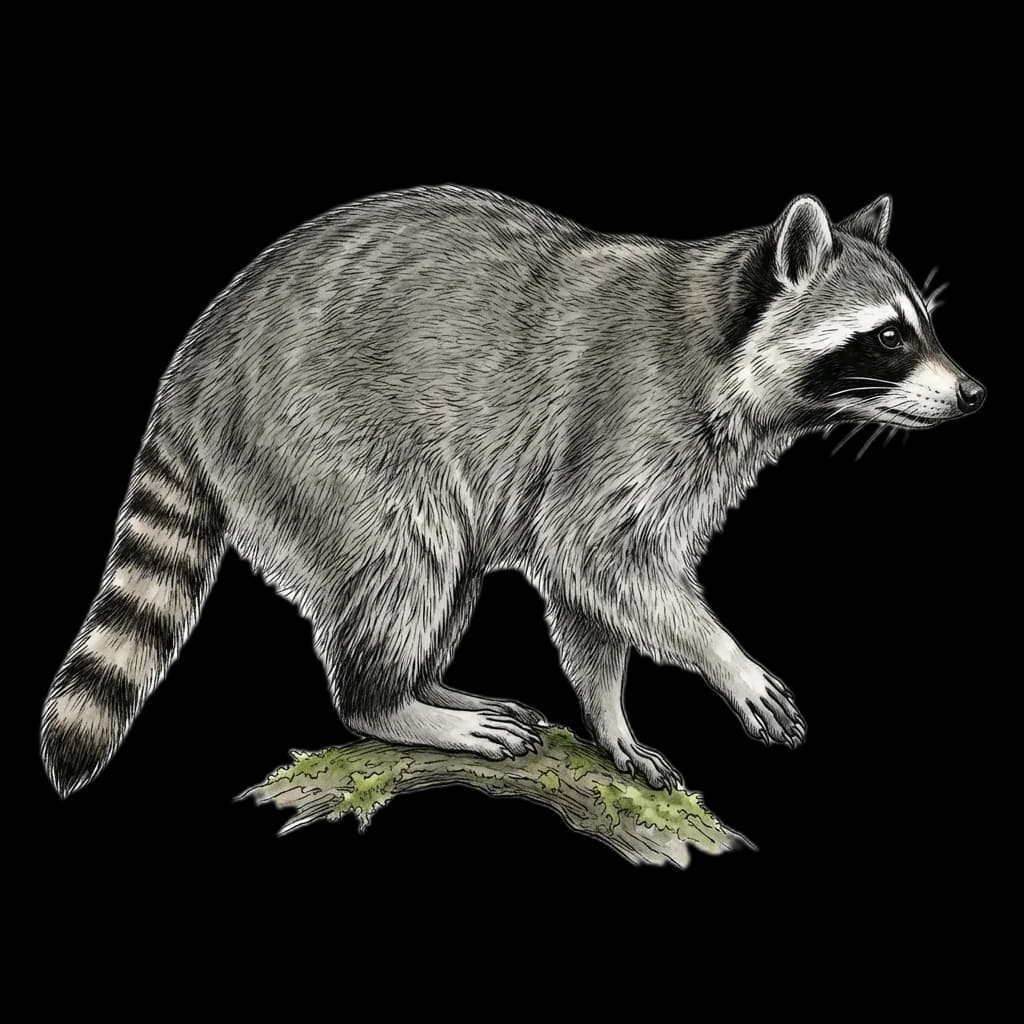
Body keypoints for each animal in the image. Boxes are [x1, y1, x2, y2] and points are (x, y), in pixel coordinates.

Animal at [40, 186, 985, 796]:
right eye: (890, 337)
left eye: (925, 325)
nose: (975, 394)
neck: (724, 339)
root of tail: (193, 363)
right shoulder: (628, 421)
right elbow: (594, 559)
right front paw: (726, 658)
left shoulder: (683, 465)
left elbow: (591, 597)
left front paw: (611, 718)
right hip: (320, 439)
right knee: (403, 553)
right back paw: (389, 702)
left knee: (443, 572)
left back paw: (430, 685)